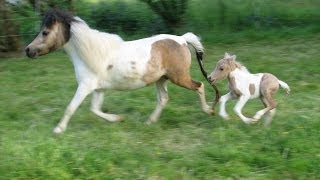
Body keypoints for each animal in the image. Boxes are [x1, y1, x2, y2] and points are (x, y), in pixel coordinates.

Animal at [25, 9, 215, 134]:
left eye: (45, 32)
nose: (28, 50)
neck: (90, 54)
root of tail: (182, 40)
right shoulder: (98, 89)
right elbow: (94, 109)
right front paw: (118, 119)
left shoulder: (85, 87)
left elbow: (71, 107)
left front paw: (58, 129)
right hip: (161, 79)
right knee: (163, 99)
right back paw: (149, 122)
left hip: (179, 77)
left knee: (199, 86)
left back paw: (209, 111)